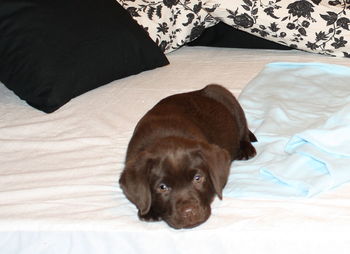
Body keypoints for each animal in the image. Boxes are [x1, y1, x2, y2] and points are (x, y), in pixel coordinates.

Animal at [120, 84, 258, 229]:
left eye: (198, 178)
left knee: (242, 128)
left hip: (230, 102)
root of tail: (198, 91)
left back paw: (246, 148)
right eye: (162, 187)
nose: (189, 212)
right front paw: (149, 211)